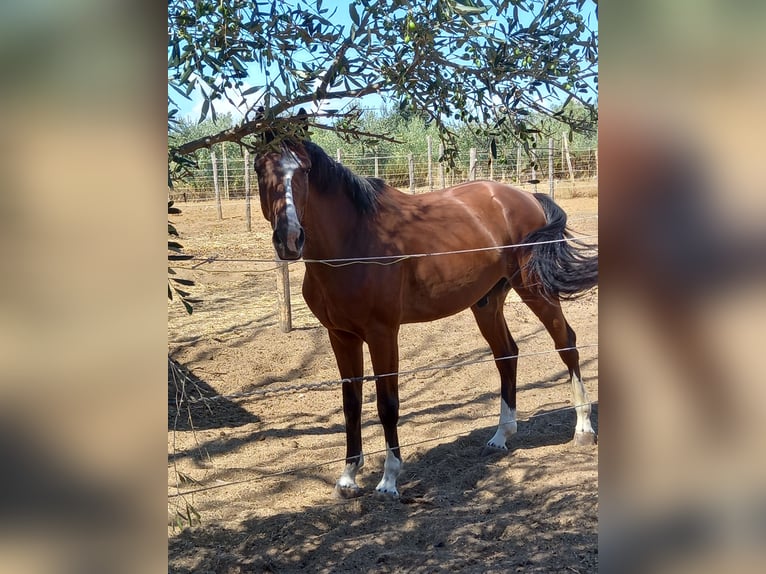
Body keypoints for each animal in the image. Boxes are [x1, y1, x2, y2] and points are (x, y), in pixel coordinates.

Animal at [255, 137, 596, 502]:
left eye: (303, 171)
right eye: (260, 168)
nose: (290, 239)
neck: (354, 242)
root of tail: (526, 197)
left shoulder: (382, 333)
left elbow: (387, 404)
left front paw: (389, 480)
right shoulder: (341, 336)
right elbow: (351, 404)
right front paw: (347, 478)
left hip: (534, 289)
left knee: (566, 344)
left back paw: (583, 429)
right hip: (486, 303)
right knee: (507, 354)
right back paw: (500, 436)